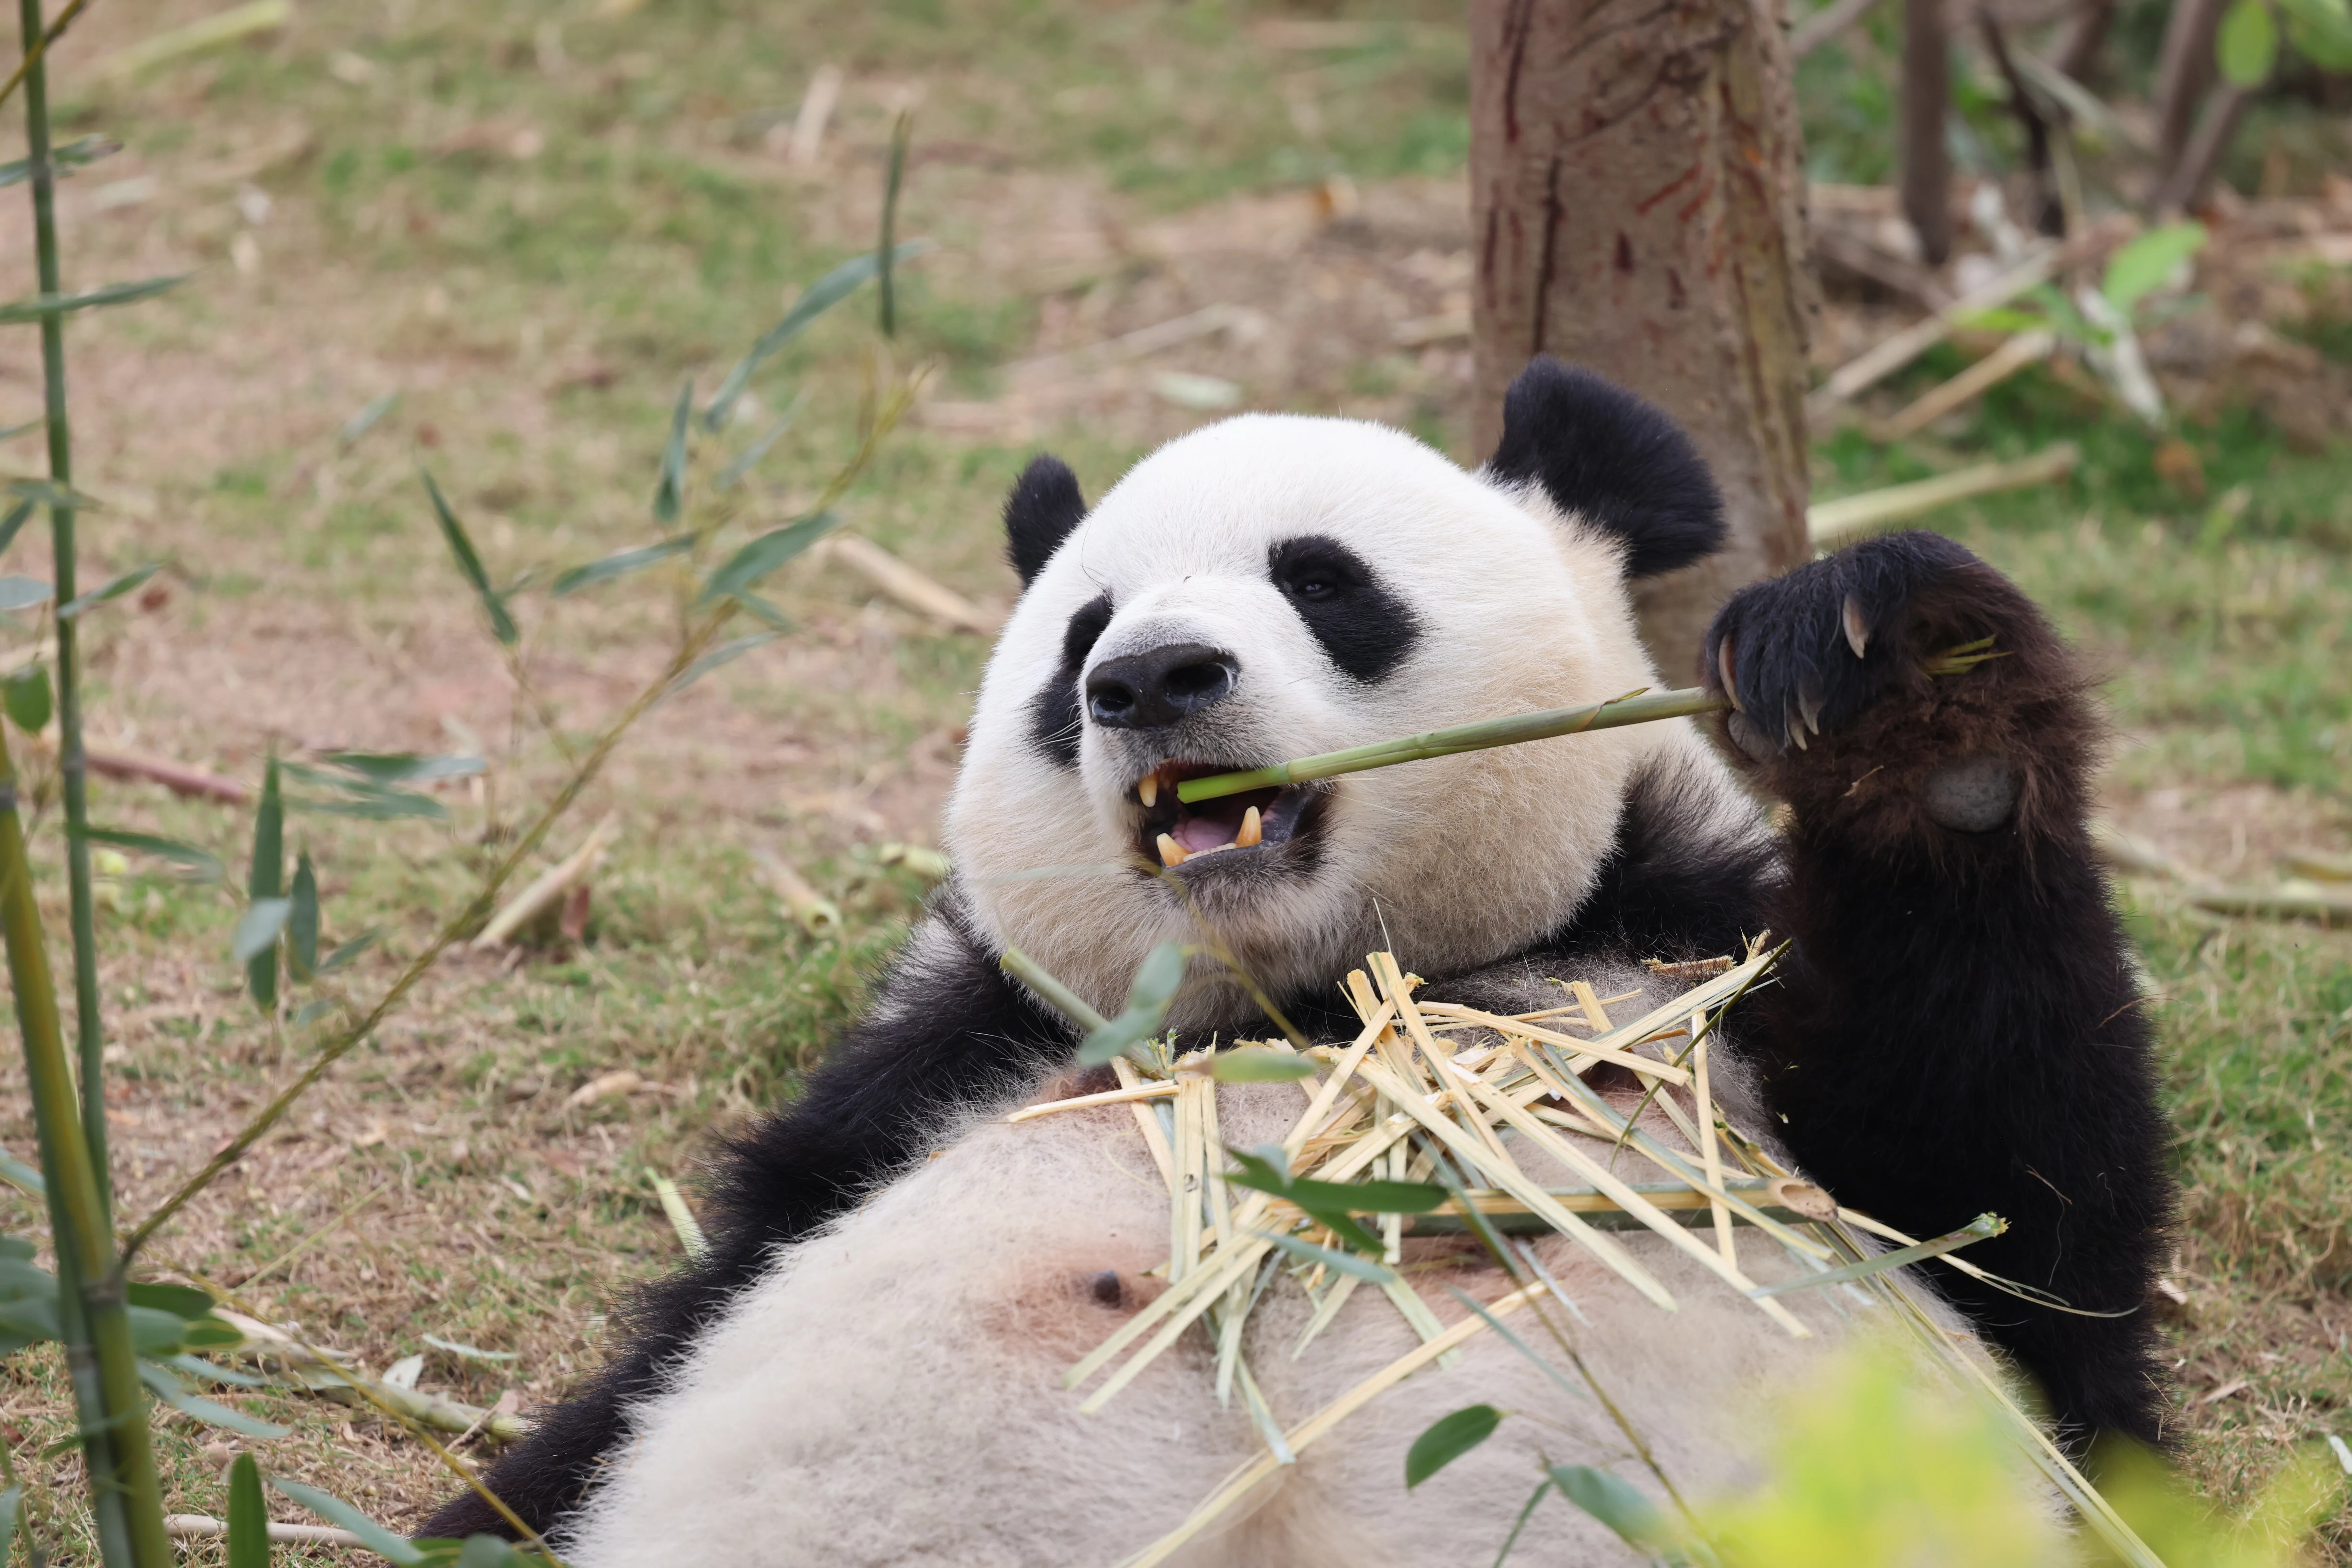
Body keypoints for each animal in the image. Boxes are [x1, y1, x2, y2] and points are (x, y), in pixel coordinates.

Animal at [424, 360, 2174, 1555]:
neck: (1315, 991)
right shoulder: (946, 1063)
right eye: (1080, 637)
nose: (1152, 677)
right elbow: (634, 1378)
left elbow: (2019, 1227)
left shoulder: (1694, 963)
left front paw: (1916, 699)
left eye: (1322, 580)